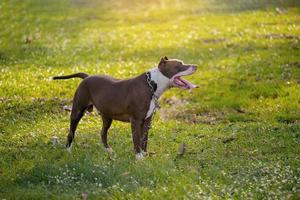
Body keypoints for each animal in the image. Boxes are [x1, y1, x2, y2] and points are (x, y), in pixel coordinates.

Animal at [52, 56, 198, 159]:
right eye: (179, 65)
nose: (196, 66)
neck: (151, 85)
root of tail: (87, 77)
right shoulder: (136, 120)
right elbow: (136, 139)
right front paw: (139, 157)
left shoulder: (147, 121)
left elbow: (144, 139)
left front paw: (145, 154)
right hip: (77, 111)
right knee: (71, 132)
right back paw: (68, 150)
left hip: (107, 117)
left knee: (103, 132)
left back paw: (108, 150)